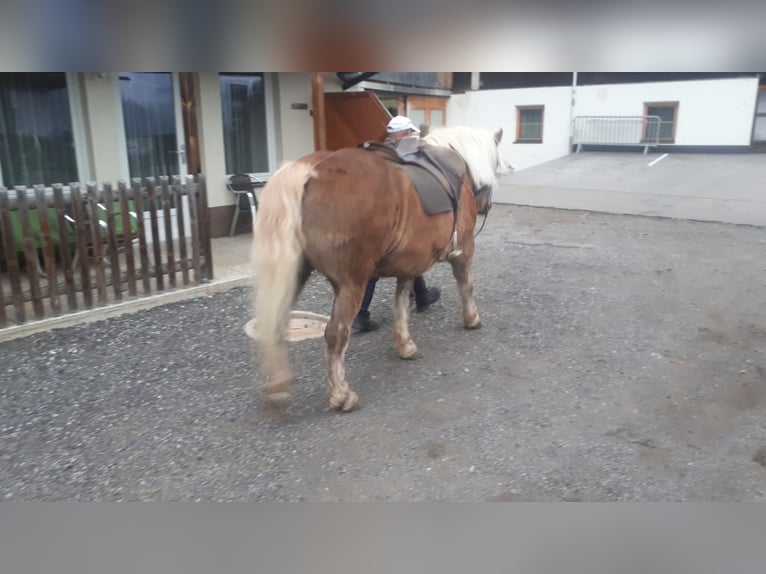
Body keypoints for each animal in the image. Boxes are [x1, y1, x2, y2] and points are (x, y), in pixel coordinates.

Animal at [252, 126, 510, 412]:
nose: (485, 204)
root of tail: (309, 169)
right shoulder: (464, 249)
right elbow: (466, 285)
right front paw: (472, 319)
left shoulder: (409, 263)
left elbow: (402, 302)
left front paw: (405, 344)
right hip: (352, 282)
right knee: (335, 333)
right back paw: (341, 395)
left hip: (297, 274)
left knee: (276, 323)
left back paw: (278, 386)